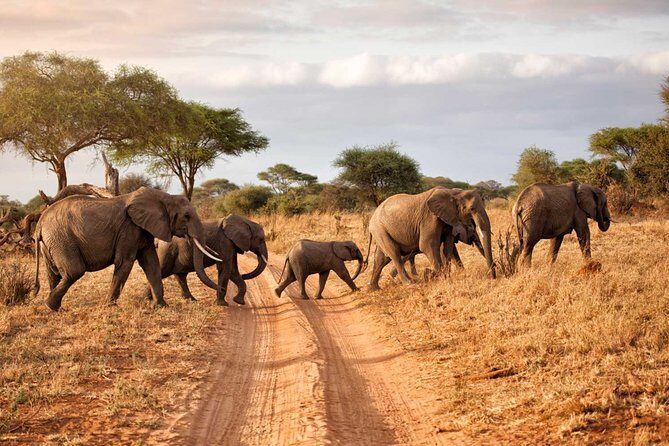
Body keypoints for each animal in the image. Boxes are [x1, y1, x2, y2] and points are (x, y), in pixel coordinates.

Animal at [33, 187, 221, 311]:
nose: (221, 291)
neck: (164, 197)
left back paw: (55, 308)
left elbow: (152, 264)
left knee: (54, 273)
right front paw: (109, 306)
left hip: (51, 242)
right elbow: (125, 262)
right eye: (186, 216)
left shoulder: (143, 229)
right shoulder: (129, 228)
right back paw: (51, 305)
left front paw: (161, 306)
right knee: (74, 271)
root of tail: (40, 223)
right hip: (62, 239)